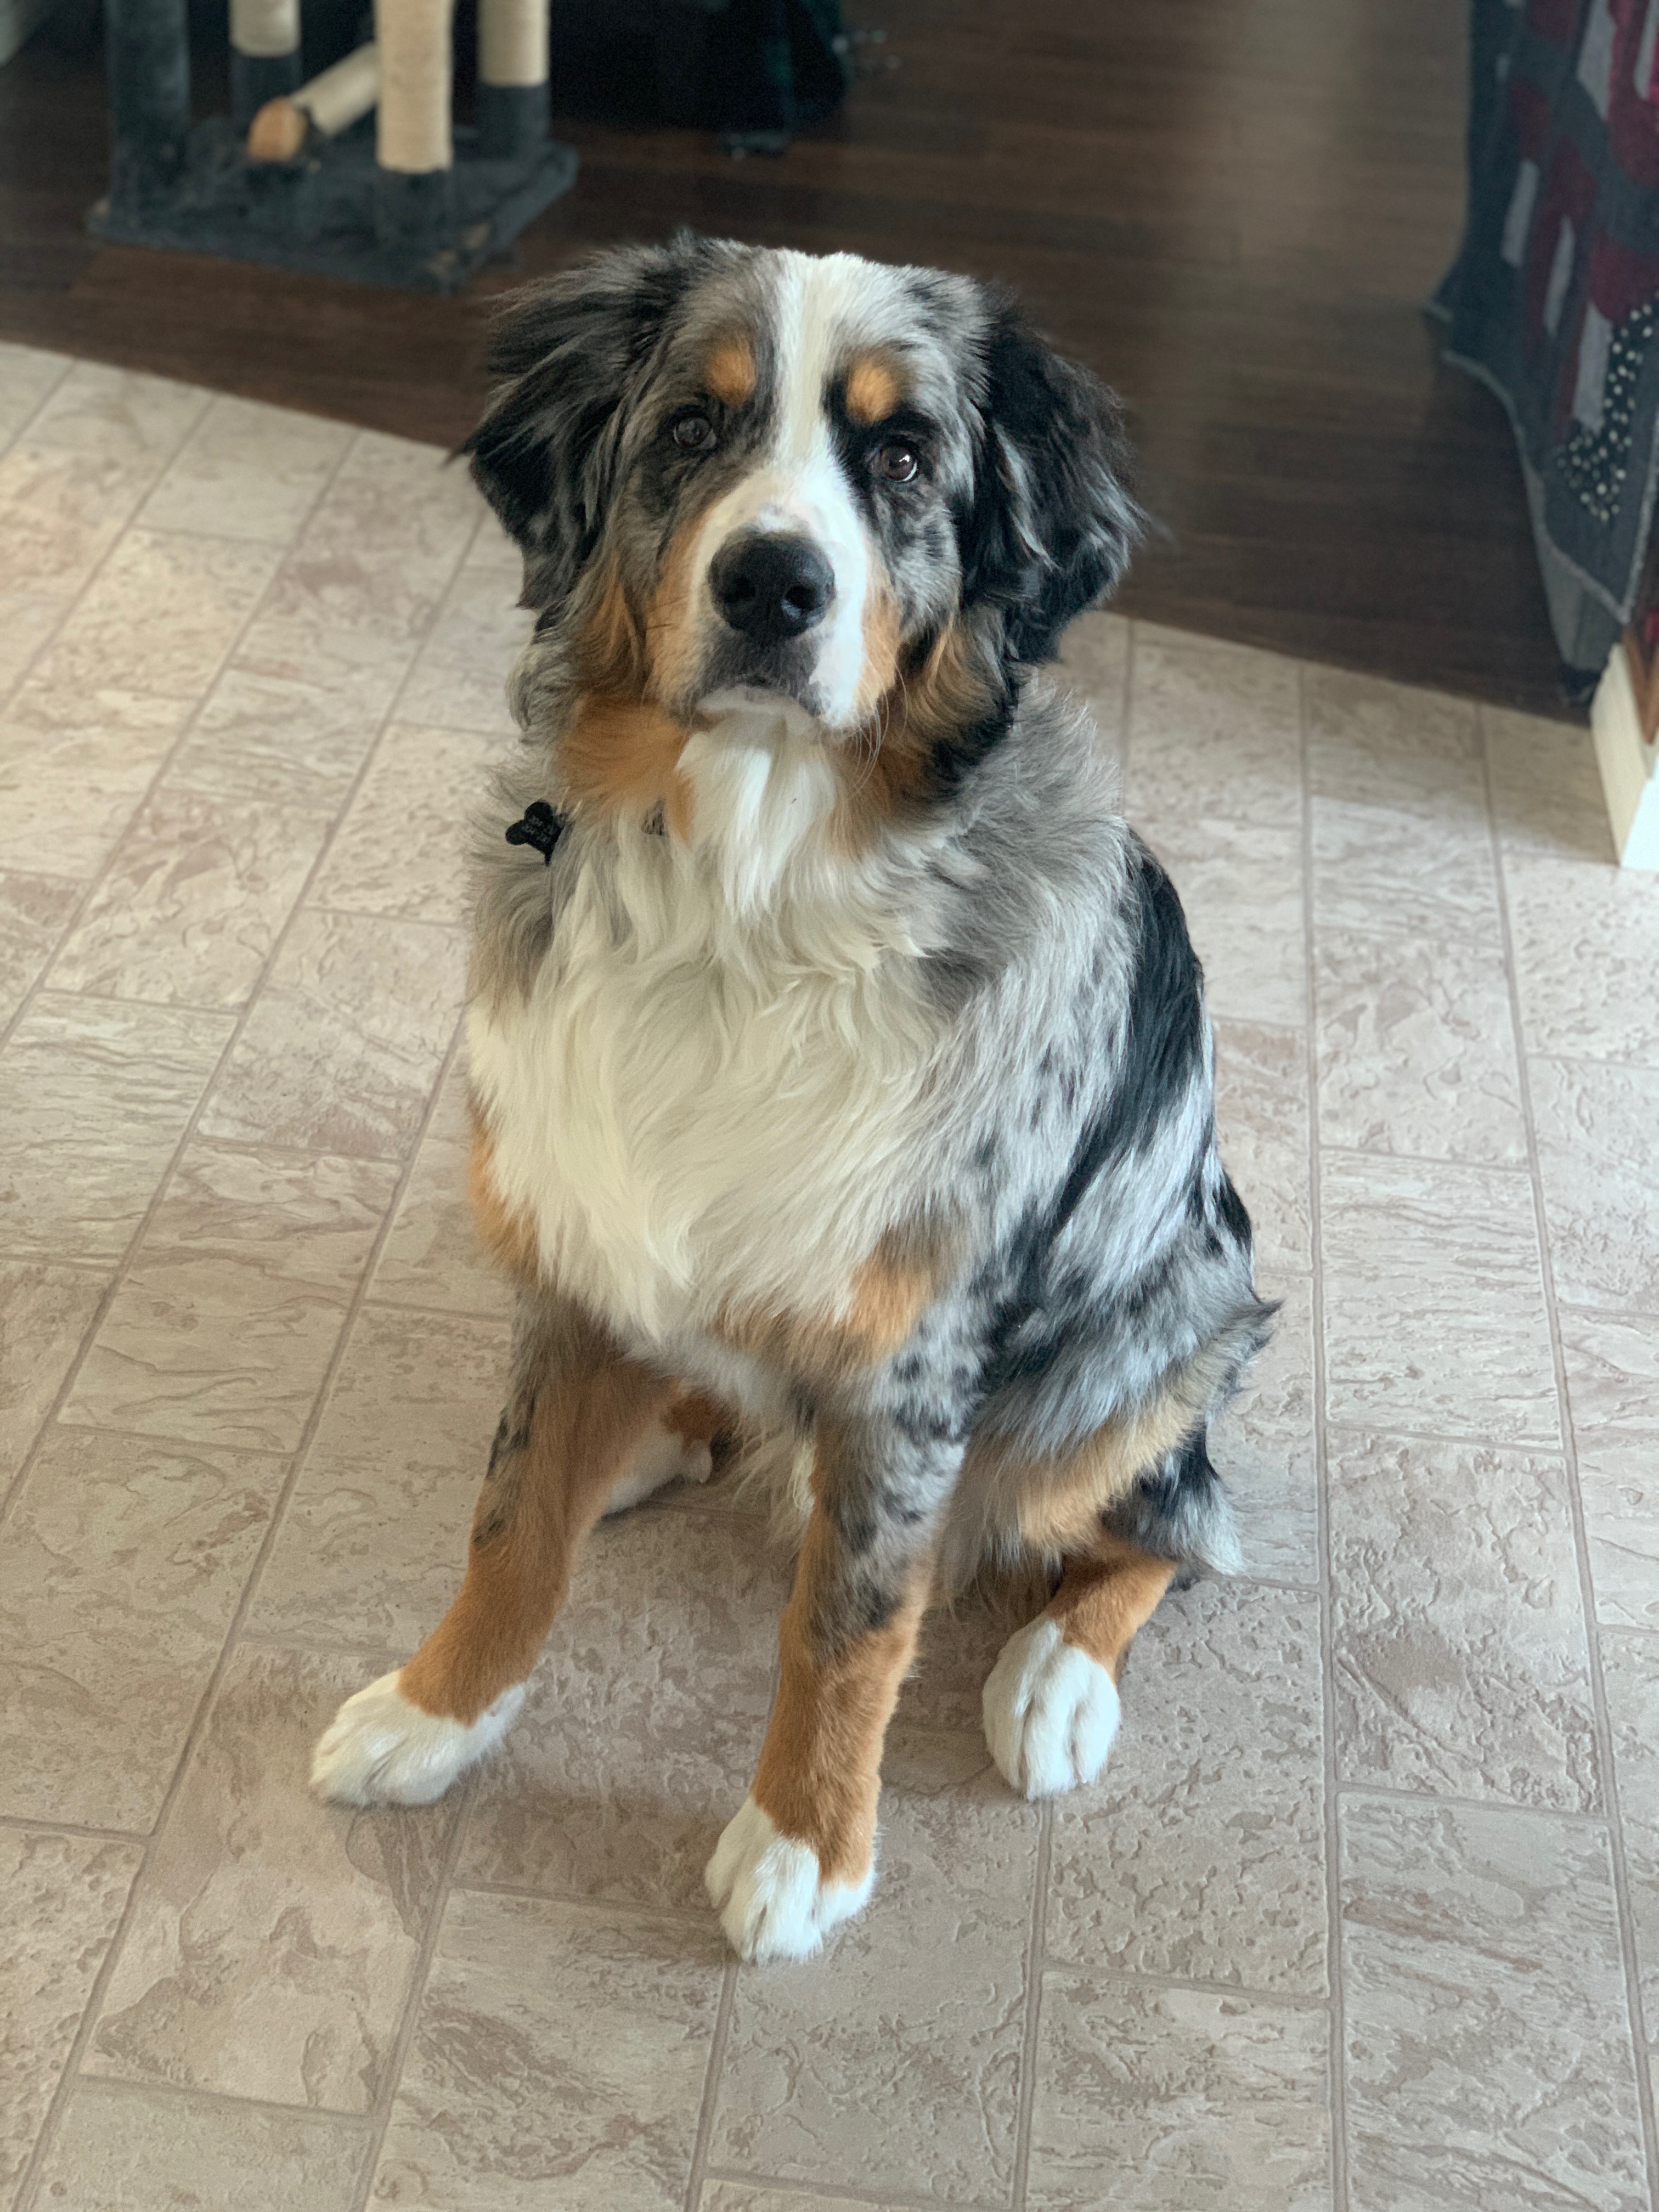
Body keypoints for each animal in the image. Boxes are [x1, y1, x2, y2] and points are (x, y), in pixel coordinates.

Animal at [311, 235, 1271, 1964]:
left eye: (902, 458)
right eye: (694, 428)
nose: (775, 585)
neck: (744, 892)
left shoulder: (912, 1356)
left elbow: (851, 1626)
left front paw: (804, 1846)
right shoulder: (574, 1235)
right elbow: (512, 1523)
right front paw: (436, 1712)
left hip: (1150, 1337)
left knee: (1166, 1520)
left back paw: (1055, 1677)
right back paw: (659, 1435)